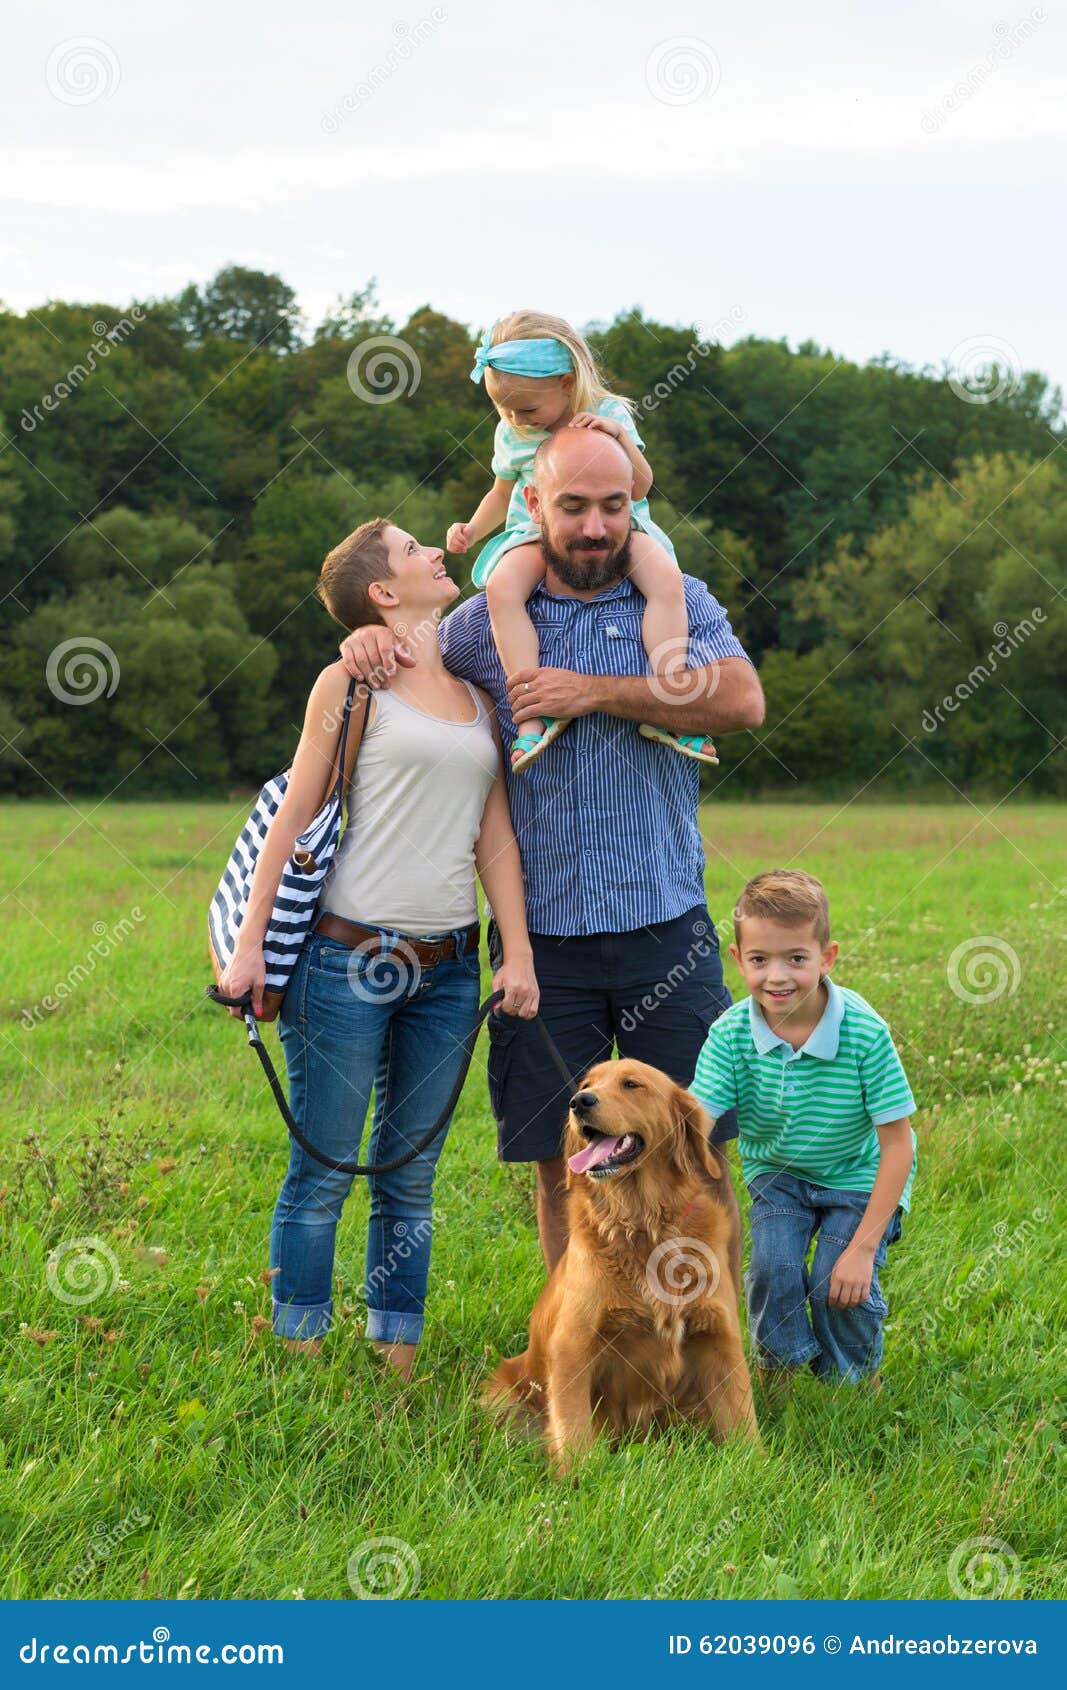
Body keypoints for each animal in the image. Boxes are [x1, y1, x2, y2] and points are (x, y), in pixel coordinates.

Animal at [483, 1054, 760, 1466]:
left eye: (631, 1084)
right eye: (586, 1085)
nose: (579, 1102)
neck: (644, 1225)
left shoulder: (719, 1339)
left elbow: (744, 1426)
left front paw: (757, 1468)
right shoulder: (572, 1347)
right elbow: (574, 1431)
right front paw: (579, 1476)